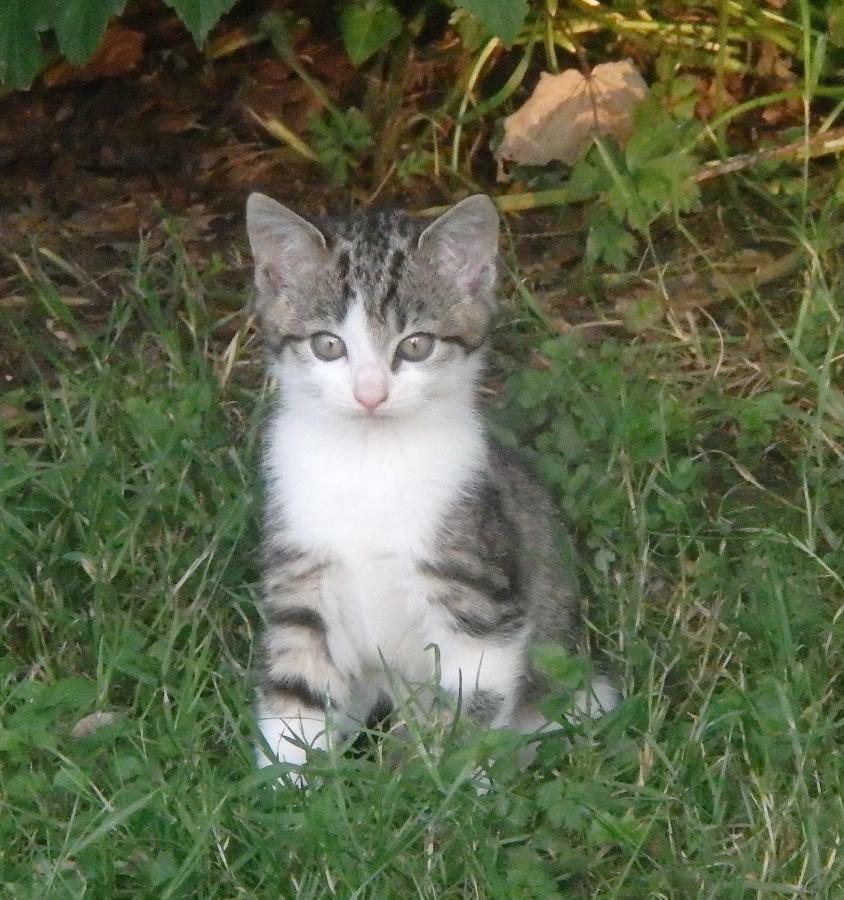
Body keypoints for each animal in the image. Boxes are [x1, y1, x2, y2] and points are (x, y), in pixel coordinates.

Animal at [242, 193, 612, 776]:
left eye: (415, 345)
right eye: (328, 345)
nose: (370, 394)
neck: (367, 462)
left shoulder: (478, 597)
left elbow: (468, 709)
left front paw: (438, 786)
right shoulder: (300, 580)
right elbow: (295, 695)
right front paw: (286, 787)